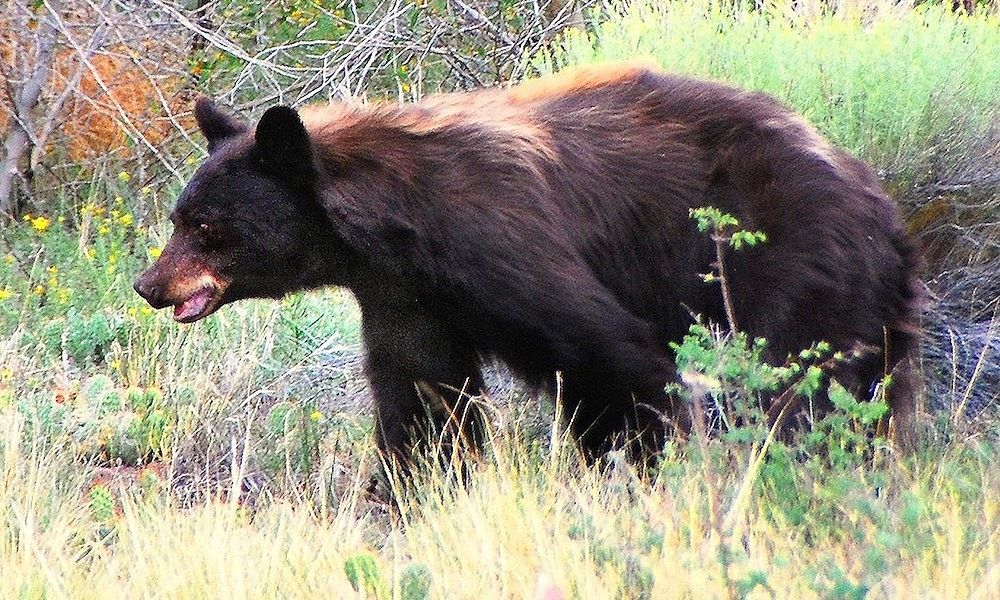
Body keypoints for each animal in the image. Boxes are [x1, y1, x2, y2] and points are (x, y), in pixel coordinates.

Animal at [135, 64, 920, 468]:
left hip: (790, 251)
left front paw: (640, 466)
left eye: (206, 228)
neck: (399, 227)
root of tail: (876, 195)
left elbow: (608, 352)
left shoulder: (502, 242)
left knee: (807, 373)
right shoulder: (406, 296)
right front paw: (416, 487)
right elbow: (421, 396)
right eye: (179, 218)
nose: (148, 285)